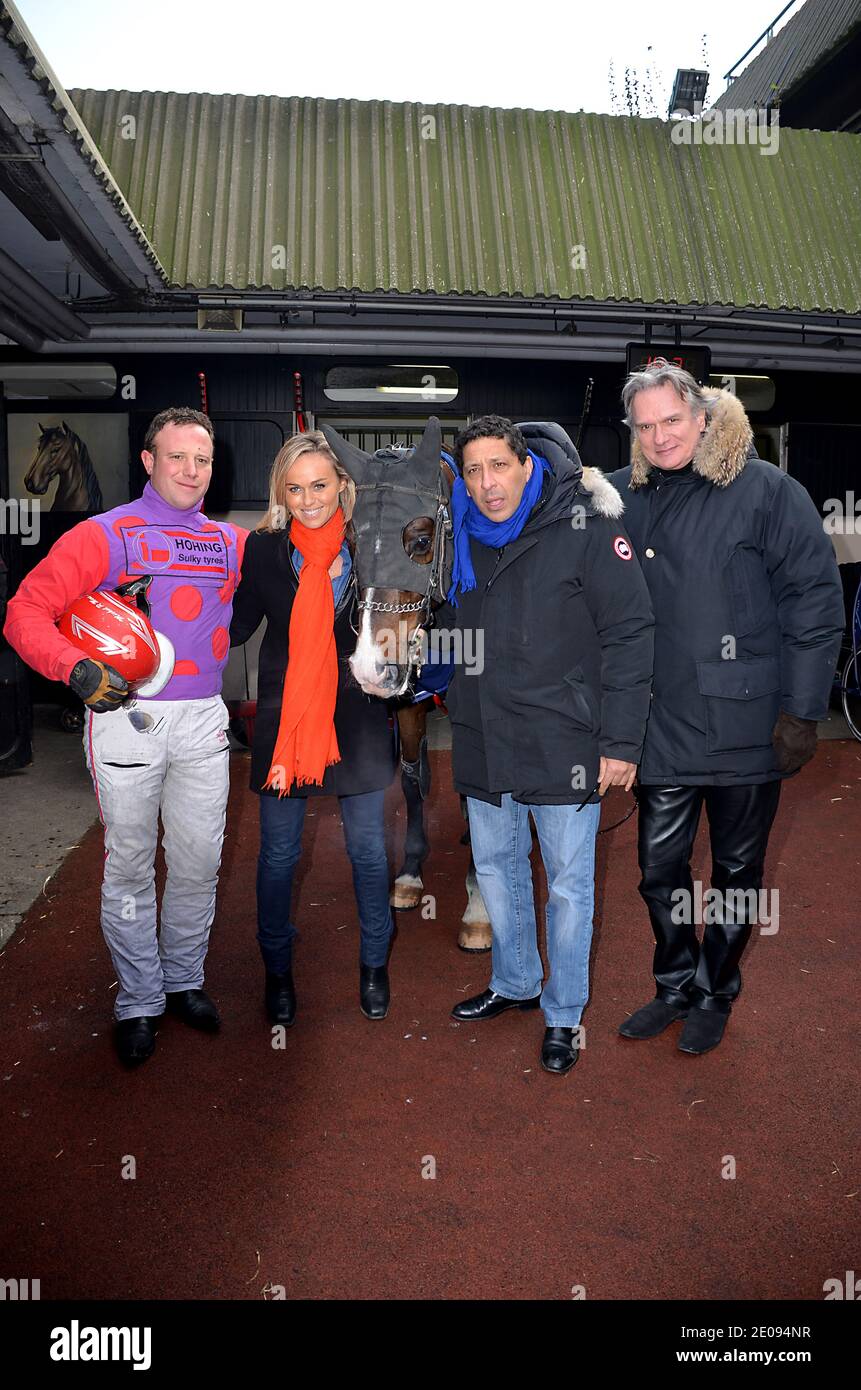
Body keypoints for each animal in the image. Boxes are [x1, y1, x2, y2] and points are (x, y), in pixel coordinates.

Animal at [319, 414, 492, 956]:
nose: (371, 667)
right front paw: (411, 874)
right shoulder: (409, 706)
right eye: (351, 541)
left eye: (419, 541)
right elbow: (415, 783)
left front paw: (480, 905)